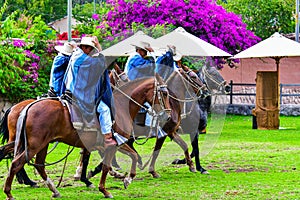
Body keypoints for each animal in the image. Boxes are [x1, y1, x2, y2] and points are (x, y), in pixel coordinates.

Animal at [2, 74, 171, 199]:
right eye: (164, 93)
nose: (168, 116)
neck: (122, 106)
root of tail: (27, 108)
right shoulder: (114, 144)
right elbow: (110, 164)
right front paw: (107, 188)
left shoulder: (112, 144)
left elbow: (131, 156)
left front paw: (123, 179)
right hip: (34, 145)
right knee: (16, 163)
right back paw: (9, 193)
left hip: (42, 144)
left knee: (38, 164)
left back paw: (54, 190)